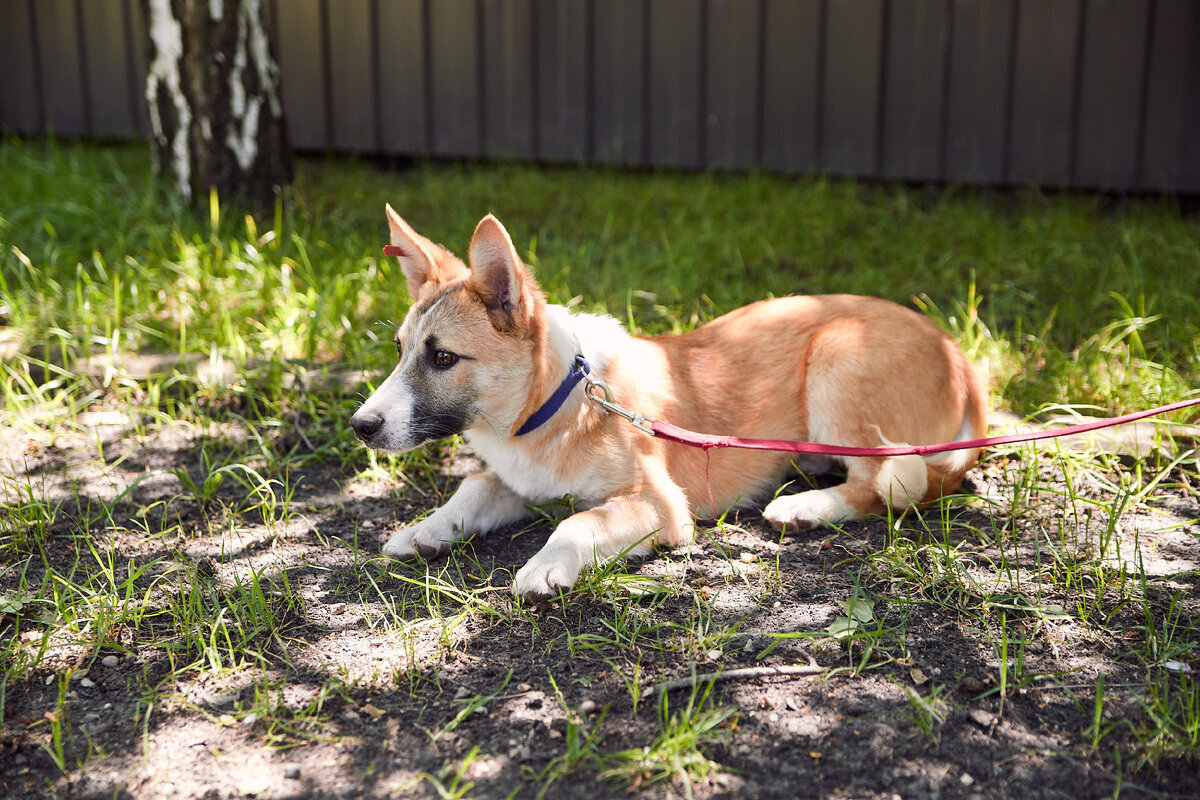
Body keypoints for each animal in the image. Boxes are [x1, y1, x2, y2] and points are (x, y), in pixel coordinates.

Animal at [350, 206, 984, 599]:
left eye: (443, 358)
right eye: (401, 349)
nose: (360, 426)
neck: (556, 403)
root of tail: (955, 350)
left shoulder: (661, 503)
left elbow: (580, 520)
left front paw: (547, 564)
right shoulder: (517, 481)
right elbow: (475, 487)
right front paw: (427, 529)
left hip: (836, 360)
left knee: (887, 486)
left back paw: (804, 507)